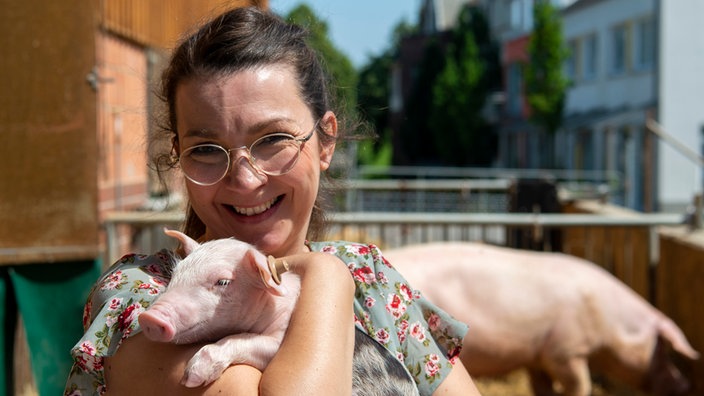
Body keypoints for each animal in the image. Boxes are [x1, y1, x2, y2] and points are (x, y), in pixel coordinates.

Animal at [136, 230, 418, 394]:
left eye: (223, 282)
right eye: (176, 273)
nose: (148, 317)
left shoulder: (279, 340)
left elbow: (241, 340)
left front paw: (192, 378)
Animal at [384, 241, 700, 396]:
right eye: (662, 349)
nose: (685, 386)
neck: (609, 321)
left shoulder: (536, 356)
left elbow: (541, 387)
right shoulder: (565, 350)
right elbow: (579, 385)